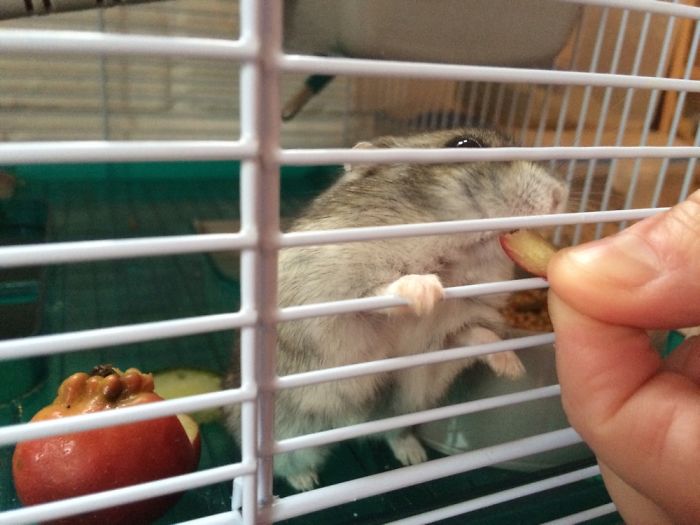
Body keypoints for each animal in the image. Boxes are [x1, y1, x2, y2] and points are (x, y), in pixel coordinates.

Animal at [223, 128, 568, 491]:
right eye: (465, 144)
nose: (560, 195)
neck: (454, 258)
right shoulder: (329, 295)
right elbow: (379, 294)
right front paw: (427, 291)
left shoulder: (449, 334)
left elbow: (477, 335)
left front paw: (512, 368)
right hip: (289, 434)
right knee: (287, 464)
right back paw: (305, 482)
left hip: (404, 410)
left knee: (393, 435)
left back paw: (414, 456)